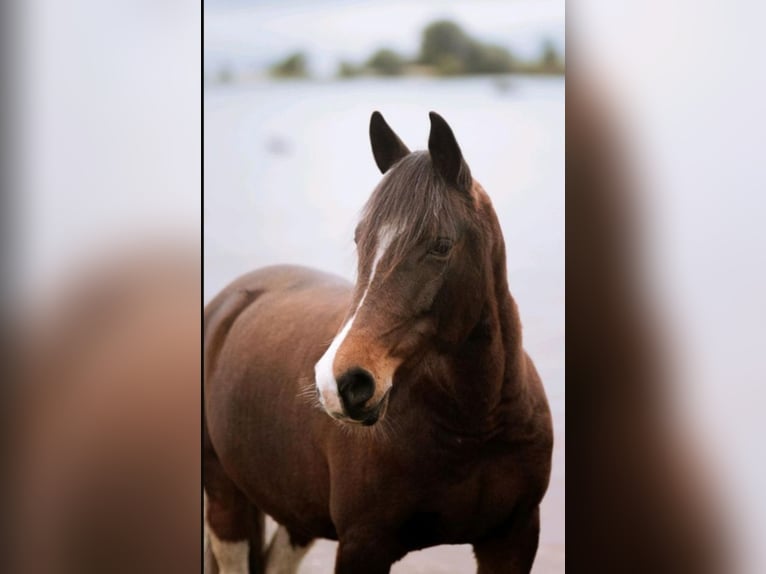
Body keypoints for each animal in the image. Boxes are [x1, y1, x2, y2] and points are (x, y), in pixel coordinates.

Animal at [202, 112, 552, 574]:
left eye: (441, 245)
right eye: (360, 238)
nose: (340, 383)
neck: (476, 425)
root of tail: (229, 302)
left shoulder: (513, 538)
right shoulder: (363, 545)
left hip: (295, 512)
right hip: (226, 500)